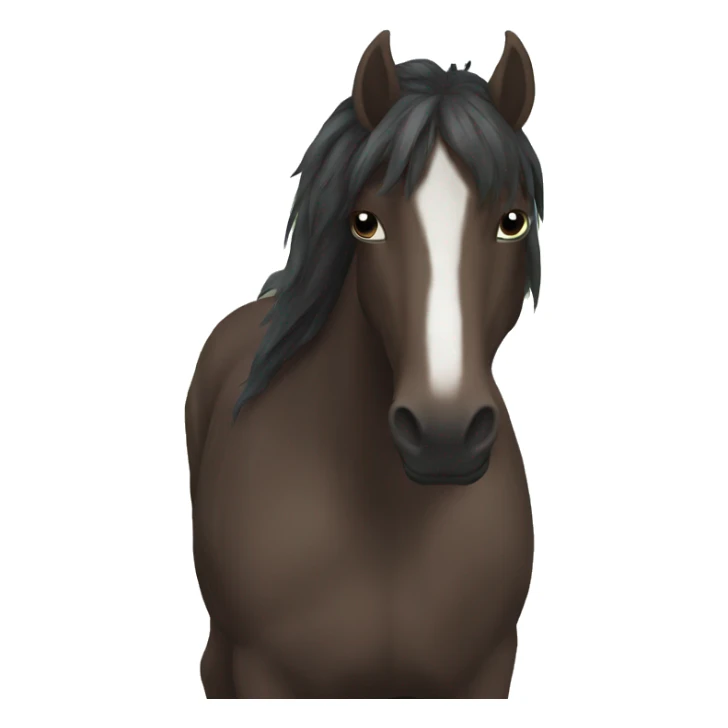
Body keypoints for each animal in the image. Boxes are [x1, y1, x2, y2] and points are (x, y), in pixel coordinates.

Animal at [185, 29, 544, 699]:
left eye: (511, 221)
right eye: (364, 222)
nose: (444, 436)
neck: (389, 525)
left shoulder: (486, 673)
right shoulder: (263, 675)